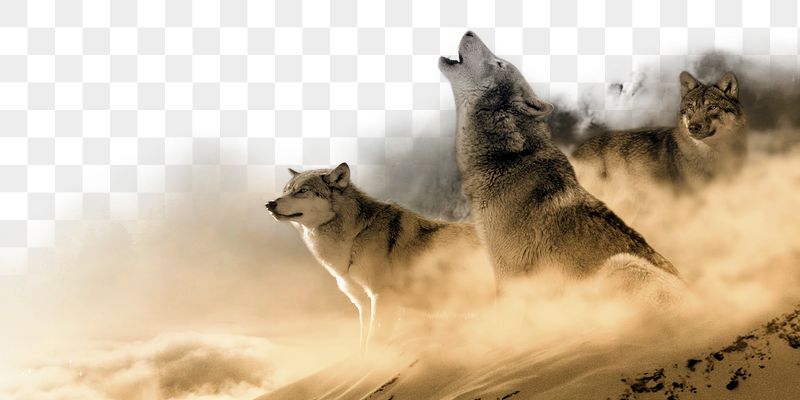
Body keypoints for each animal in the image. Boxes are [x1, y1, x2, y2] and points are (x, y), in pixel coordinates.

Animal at [266, 163, 494, 351]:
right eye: (286, 190)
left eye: (302, 191)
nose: (270, 204)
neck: (354, 237)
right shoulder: (363, 305)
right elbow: (363, 344)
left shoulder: (382, 296)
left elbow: (374, 342)